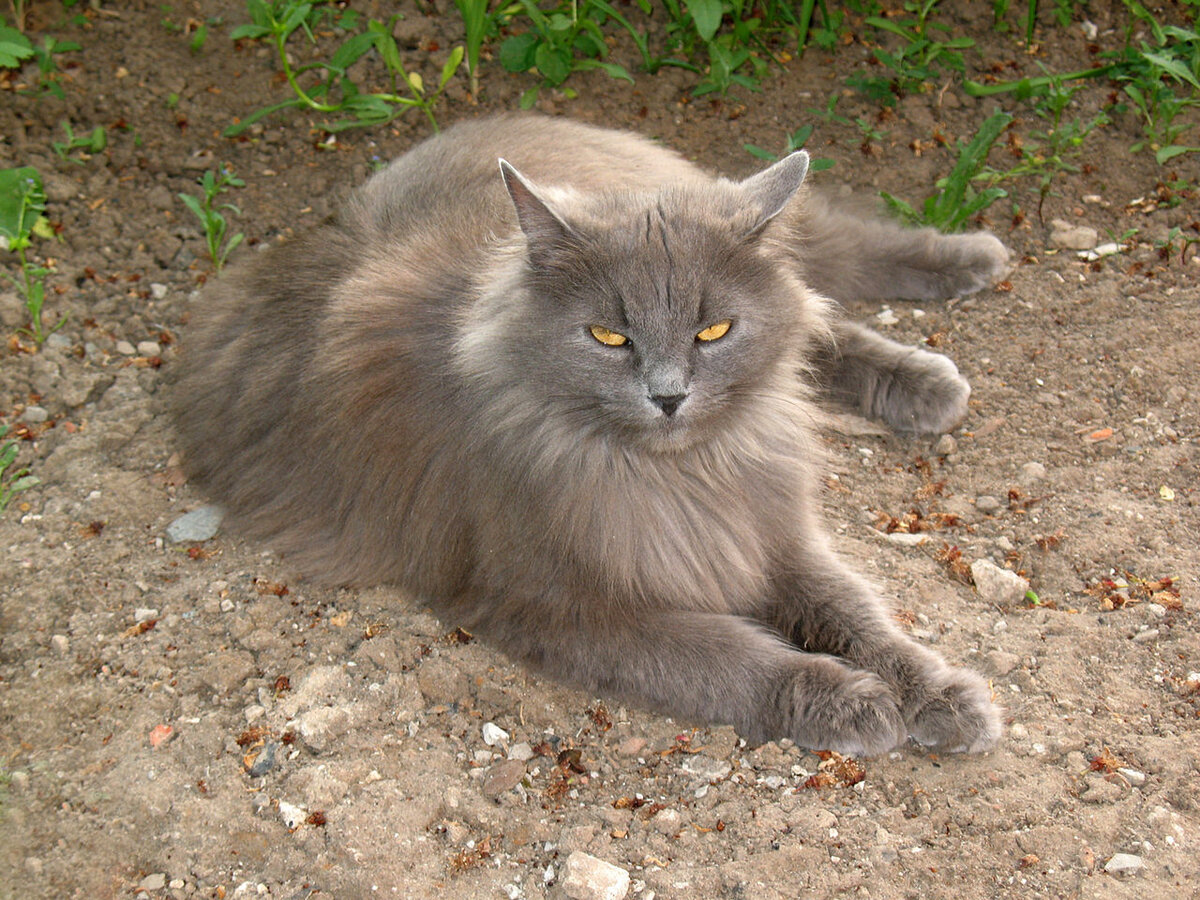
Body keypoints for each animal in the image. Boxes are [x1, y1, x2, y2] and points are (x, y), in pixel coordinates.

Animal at [175, 114, 1003, 763]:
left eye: (714, 331)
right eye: (609, 336)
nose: (668, 395)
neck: (684, 477)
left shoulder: (773, 536)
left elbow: (864, 621)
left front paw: (943, 696)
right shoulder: (564, 605)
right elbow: (732, 659)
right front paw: (853, 703)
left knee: (834, 284)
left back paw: (962, 286)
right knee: (824, 314)